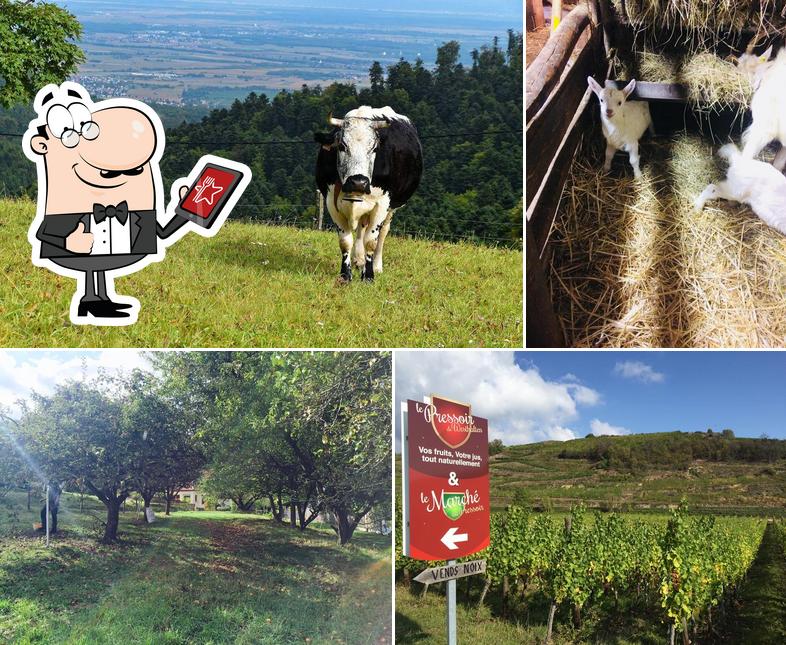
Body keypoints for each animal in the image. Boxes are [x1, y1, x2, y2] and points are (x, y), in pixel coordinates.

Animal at [314, 106, 422, 282]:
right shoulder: (331, 201)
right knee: (361, 229)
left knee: (383, 233)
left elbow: (371, 241)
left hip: (391, 208)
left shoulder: (382, 204)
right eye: (342, 146)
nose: (359, 182)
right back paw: (359, 260)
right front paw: (345, 275)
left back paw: (376, 265)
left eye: (375, 148)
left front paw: (369, 276)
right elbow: (345, 241)